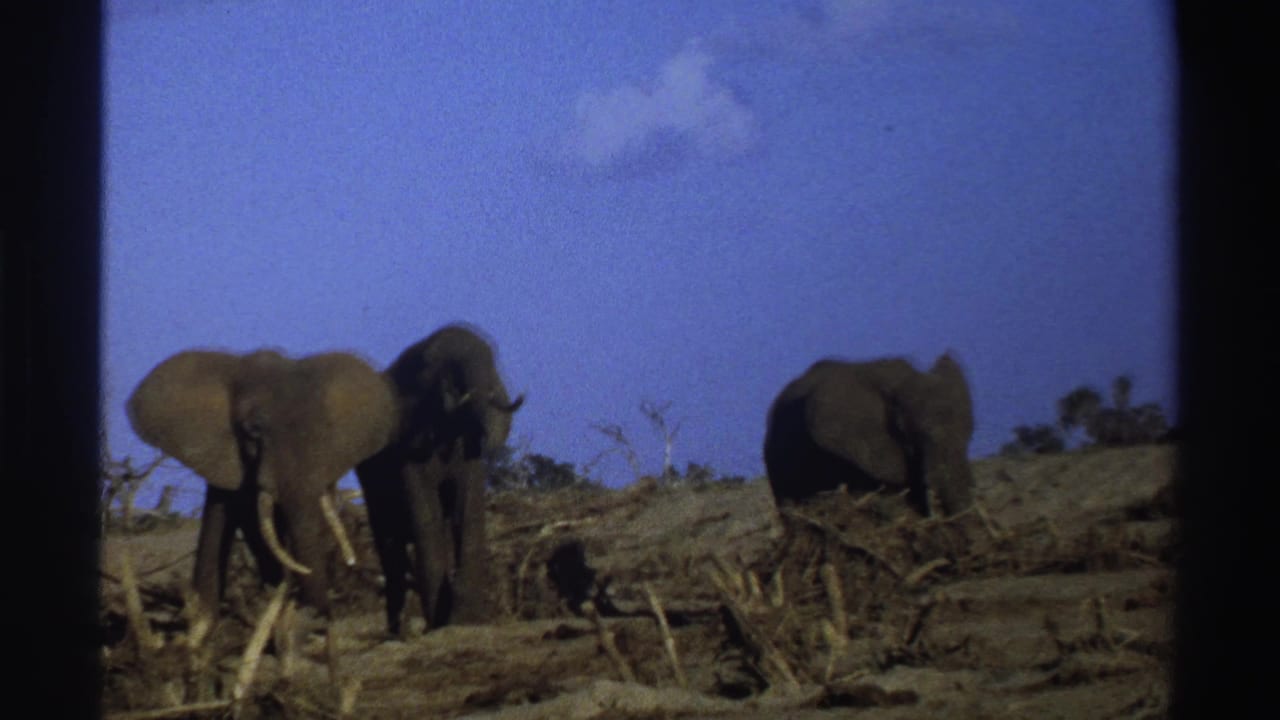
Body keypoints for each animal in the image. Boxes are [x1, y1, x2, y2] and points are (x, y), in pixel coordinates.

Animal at [356, 324, 524, 636]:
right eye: (437, 366)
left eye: (492, 360)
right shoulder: (406, 443)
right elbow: (427, 514)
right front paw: (440, 622)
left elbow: (467, 510)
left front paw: (466, 620)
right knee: (388, 542)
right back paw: (398, 633)